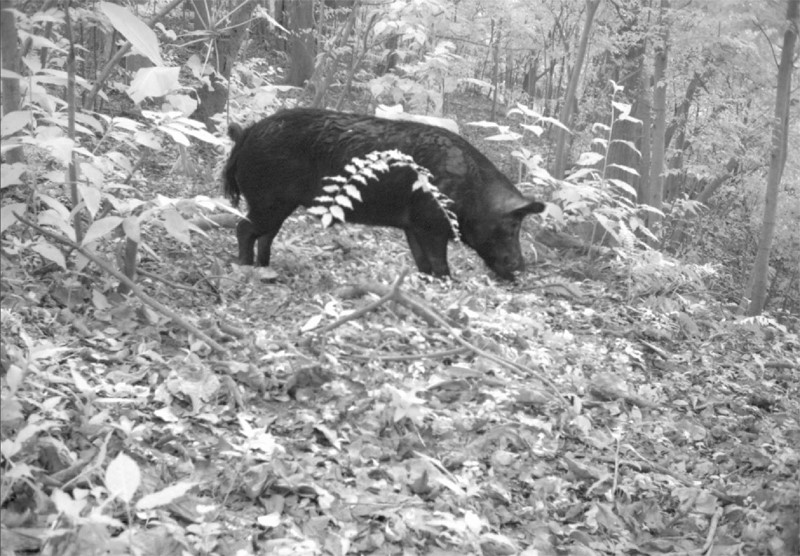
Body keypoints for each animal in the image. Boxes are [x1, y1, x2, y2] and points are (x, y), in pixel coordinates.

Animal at [223, 108, 545, 279]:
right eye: (512, 226)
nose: (522, 267)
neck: (472, 193)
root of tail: (246, 134)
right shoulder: (432, 224)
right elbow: (440, 265)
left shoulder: (413, 226)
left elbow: (423, 264)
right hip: (267, 201)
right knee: (244, 228)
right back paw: (245, 267)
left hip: (277, 205)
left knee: (265, 235)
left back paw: (267, 268)